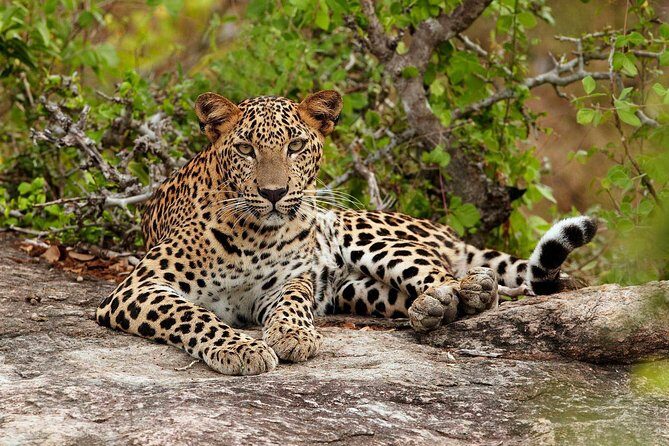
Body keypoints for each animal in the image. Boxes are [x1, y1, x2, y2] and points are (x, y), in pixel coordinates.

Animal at [96, 90, 598, 375]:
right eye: (246, 149)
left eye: (296, 145)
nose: (275, 193)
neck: (254, 234)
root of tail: (442, 229)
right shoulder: (137, 287)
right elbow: (193, 315)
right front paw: (240, 348)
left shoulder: (286, 281)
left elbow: (293, 301)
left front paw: (292, 335)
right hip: (356, 291)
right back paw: (432, 309)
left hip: (361, 232)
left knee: (450, 275)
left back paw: (463, 291)